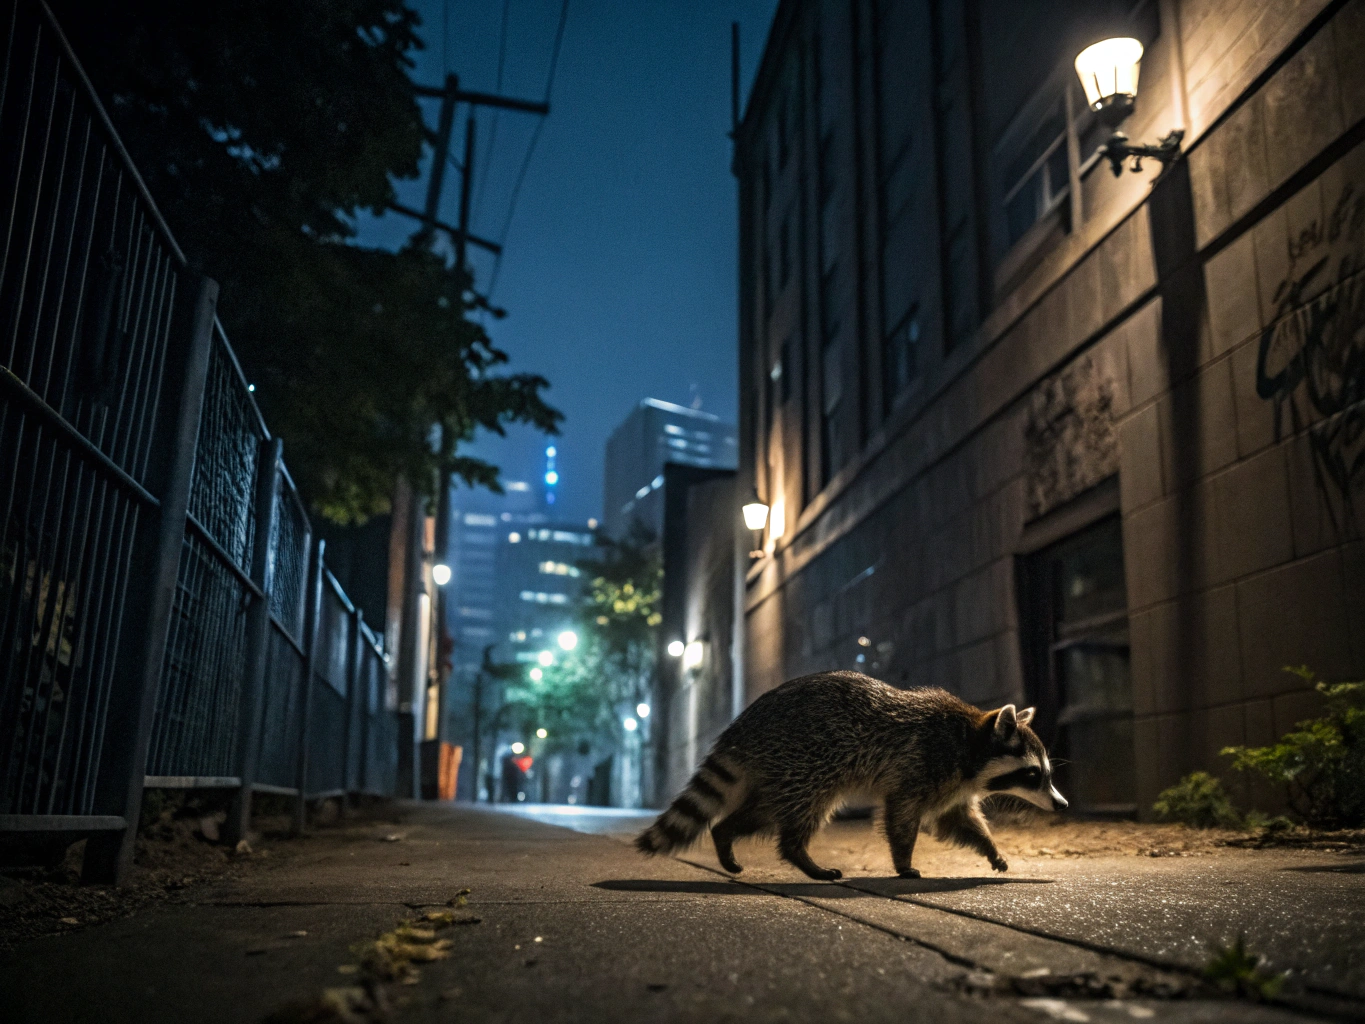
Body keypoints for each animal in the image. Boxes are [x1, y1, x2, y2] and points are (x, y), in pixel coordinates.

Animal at [635, 671, 1067, 880]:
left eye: (1047, 774)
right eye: (1033, 775)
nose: (1062, 804)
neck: (970, 743)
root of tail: (743, 725)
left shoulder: (953, 786)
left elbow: (957, 821)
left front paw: (991, 847)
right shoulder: (921, 763)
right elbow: (901, 816)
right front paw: (903, 861)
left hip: (783, 770)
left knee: (762, 811)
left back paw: (724, 835)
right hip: (804, 760)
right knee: (802, 813)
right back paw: (801, 857)